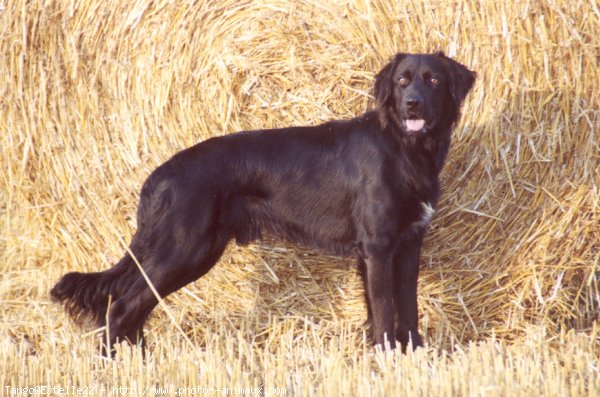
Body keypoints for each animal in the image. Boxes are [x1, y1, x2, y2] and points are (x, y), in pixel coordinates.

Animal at [50, 51, 474, 352]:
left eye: (433, 79)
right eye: (402, 81)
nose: (413, 104)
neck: (404, 147)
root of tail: (160, 175)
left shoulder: (408, 244)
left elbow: (409, 309)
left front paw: (412, 358)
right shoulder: (378, 247)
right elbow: (386, 312)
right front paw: (386, 360)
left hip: (194, 250)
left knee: (134, 309)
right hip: (184, 249)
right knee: (122, 307)